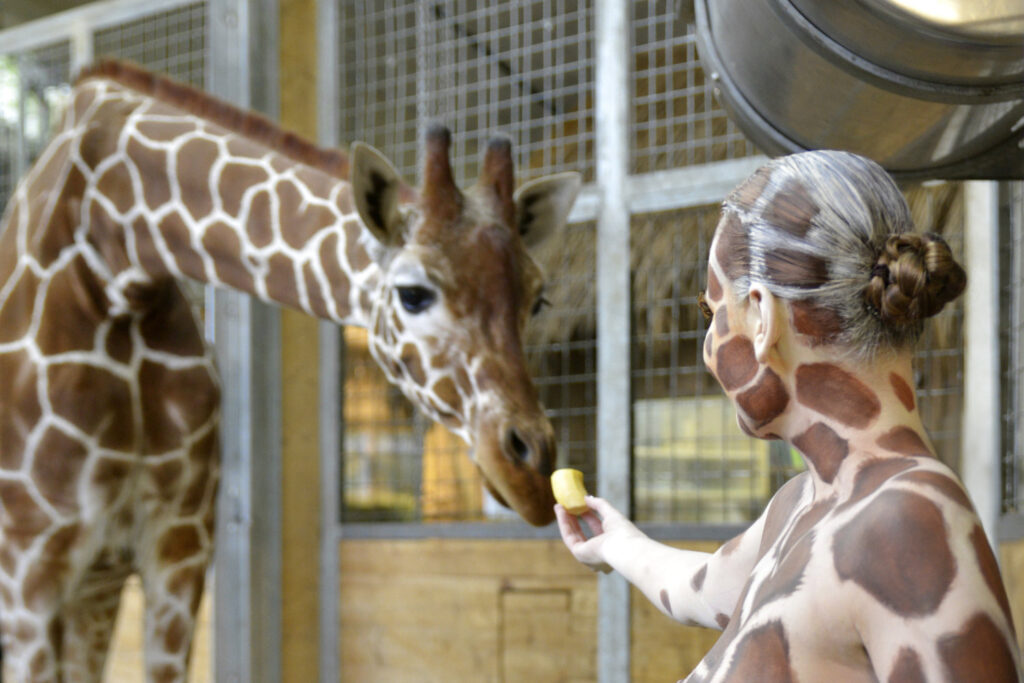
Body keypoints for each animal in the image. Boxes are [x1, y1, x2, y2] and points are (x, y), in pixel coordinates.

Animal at [0, 60, 581, 683]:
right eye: (413, 293)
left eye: (539, 300)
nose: (531, 469)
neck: (113, 256)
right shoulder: (31, 566)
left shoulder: (175, 551)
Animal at [557, 150, 1019, 683]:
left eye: (709, 310)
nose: (704, 347)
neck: (846, 467)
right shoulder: (776, 507)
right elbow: (695, 583)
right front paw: (601, 532)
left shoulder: (909, 531)